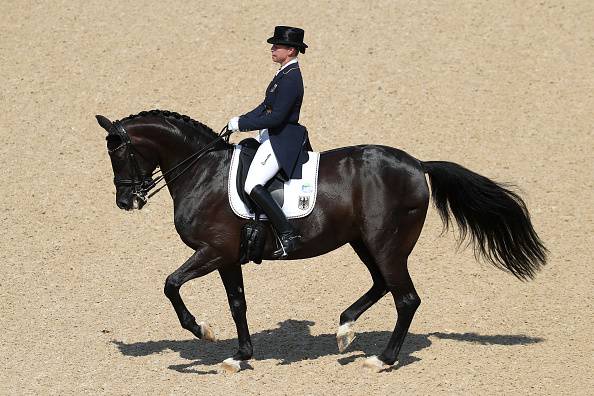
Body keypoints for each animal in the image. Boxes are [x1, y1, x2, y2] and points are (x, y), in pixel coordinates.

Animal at [95, 110, 544, 372]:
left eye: (120, 153)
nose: (125, 201)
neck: (203, 172)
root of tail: (417, 165)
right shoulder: (228, 258)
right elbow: (238, 304)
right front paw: (239, 357)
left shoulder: (214, 252)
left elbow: (171, 284)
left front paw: (201, 330)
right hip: (364, 242)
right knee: (383, 286)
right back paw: (345, 329)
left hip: (386, 244)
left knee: (406, 298)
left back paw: (382, 360)